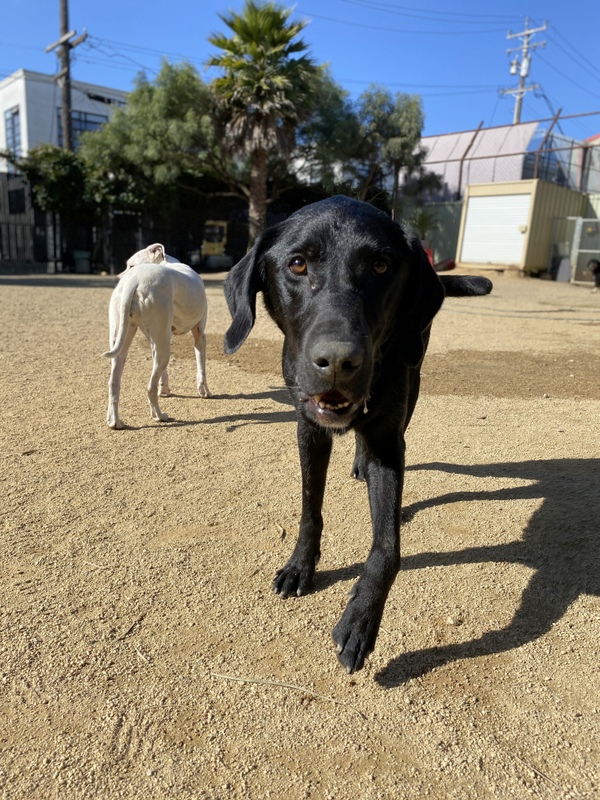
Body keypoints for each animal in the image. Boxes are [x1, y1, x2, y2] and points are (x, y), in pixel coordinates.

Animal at [101, 244, 209, 432]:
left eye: (130, 265)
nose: (115, 279)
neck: (167, 262)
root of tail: (133, 280)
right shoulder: (199, 335)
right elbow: (201, 368)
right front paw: (205, 392)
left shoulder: (156, 341)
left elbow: (163, 375)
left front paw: (165, 389)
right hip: (164, 348)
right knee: (150, 388)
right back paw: (159, 416)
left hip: (125, 341)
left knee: (113, 383)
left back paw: (115, 422)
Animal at [223, 197, 490, 672]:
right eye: (297, 264)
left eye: (381, 266)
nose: (338, 361)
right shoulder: (309, 431)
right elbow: (310, 510)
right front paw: (300, 566)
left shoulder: (388, 442)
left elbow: (387, 548)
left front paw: (361, 619)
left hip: (412, 381)